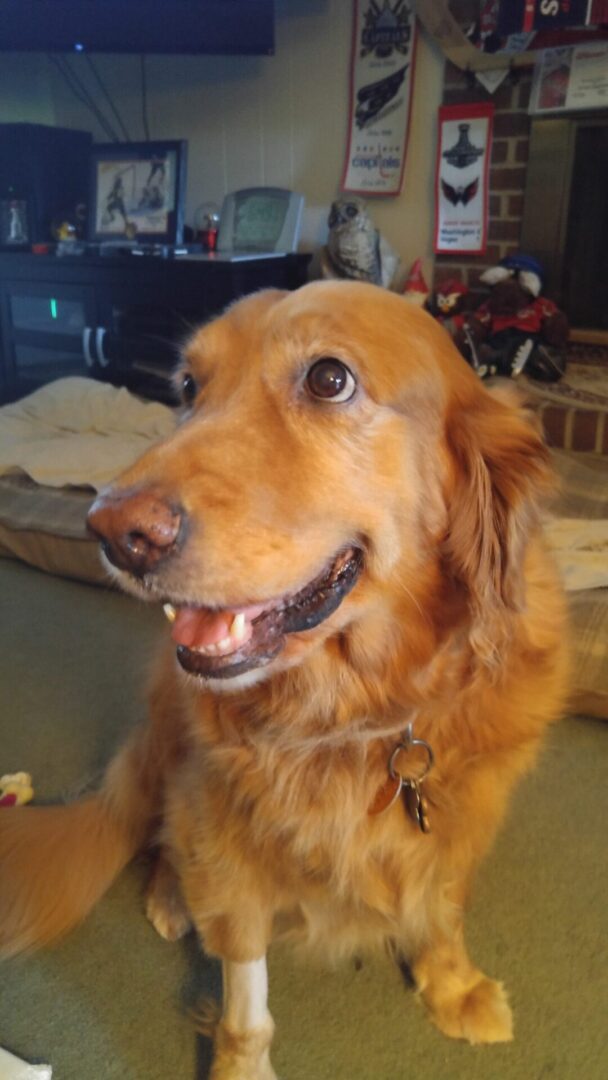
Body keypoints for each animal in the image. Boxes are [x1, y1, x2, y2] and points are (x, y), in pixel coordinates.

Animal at [1, 282, 570, 1075]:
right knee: (163, 831)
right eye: (188, 387)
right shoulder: (227, 831)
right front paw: (242, 1062)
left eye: (330, 378)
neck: (359, 711)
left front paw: (451, 982)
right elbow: (245, 983)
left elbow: (443, 901)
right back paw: (171, 895)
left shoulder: (463, 812)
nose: (113, 531)